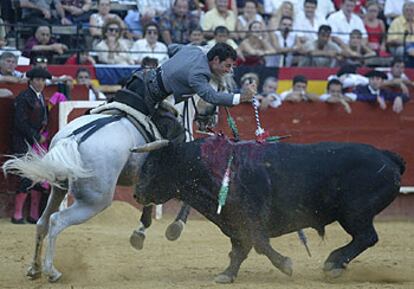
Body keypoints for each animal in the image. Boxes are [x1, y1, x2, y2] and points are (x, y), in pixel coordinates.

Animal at [2, 112, 154, 282]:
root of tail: (74, 137)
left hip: (59, 188)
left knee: (43, 222)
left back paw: (35, 268)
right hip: (95, 202)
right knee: (57, 220)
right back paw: (51, 271)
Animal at [133, 134, 404, 282]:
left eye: (151, 166)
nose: (137, 193)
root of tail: (387, 157)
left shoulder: (250, 218)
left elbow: (259, 244)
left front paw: (286, 265)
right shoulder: (234, 222)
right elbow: (239, 250)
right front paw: (227, 274)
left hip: (355, 213)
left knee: (366, 237)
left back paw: (333, 264)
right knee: (364, 238)